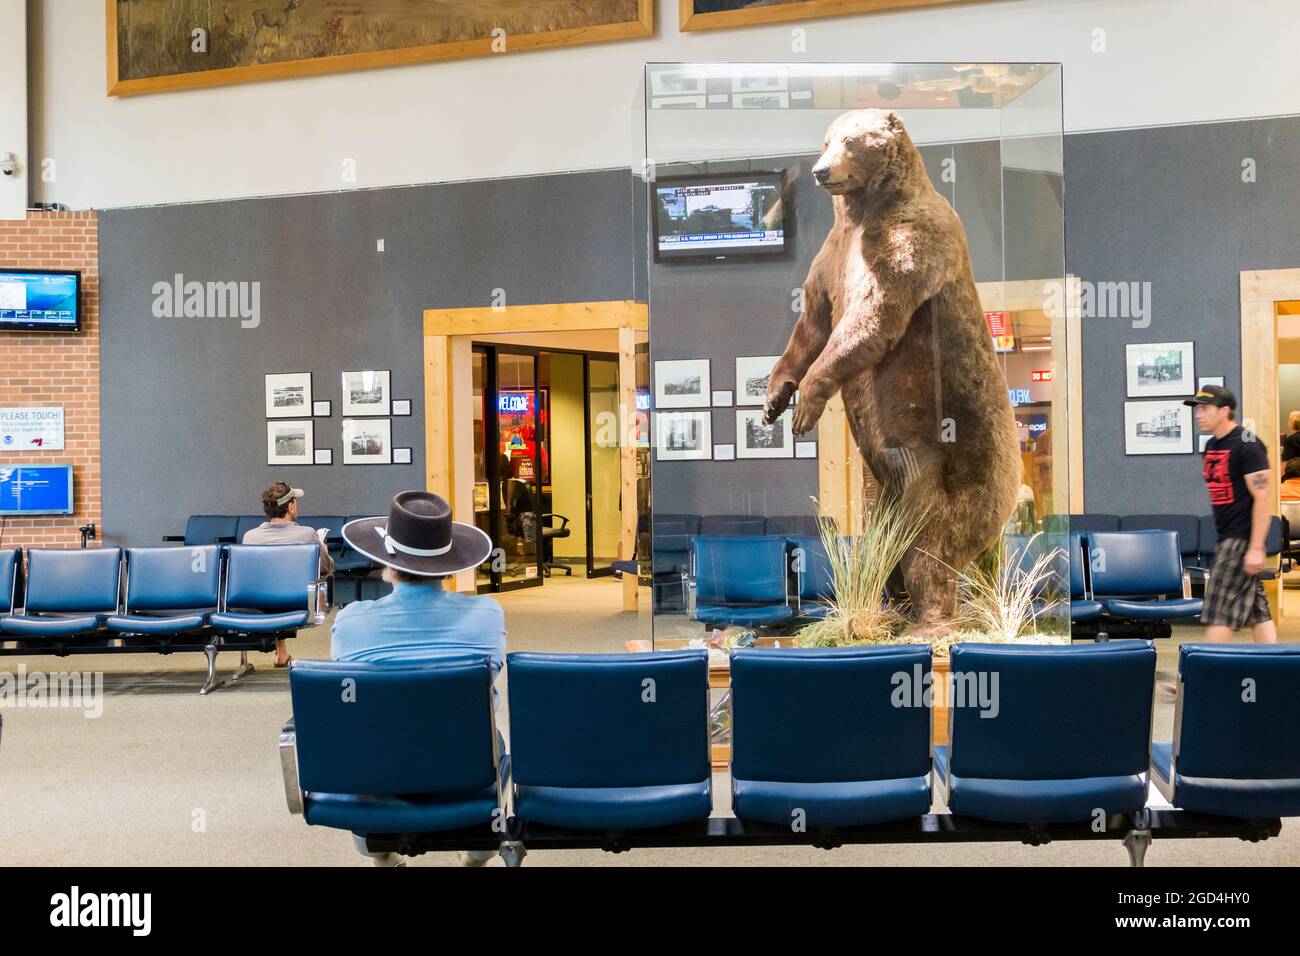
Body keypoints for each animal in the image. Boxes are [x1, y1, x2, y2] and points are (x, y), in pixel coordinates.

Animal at [759, 108, 1024, 634]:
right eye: (826, 140)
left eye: (852, 140)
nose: (821, 171)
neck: (862, 214)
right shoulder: (832, 256)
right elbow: (812, 324)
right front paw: (775, 399)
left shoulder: (908, 240)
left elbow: (871, 317)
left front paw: (806, 407)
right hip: (882, 490)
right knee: (885, 548)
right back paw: (891, 609)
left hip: (956, 476)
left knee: (933, 551)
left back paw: (931, 621)